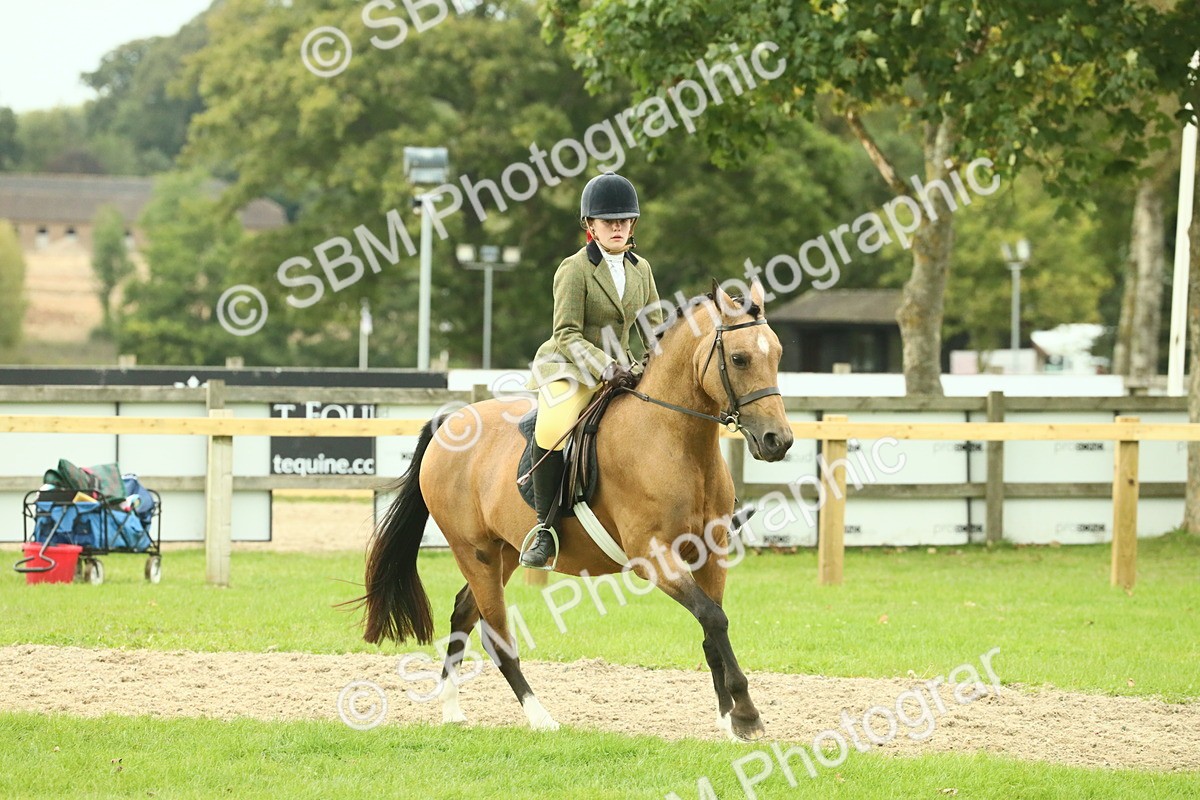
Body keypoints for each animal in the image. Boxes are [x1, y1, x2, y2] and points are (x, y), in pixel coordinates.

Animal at [360, 280, 795, 741]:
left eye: (777, 355)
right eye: (739, 358)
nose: (778, 441)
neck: (675, 441)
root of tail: (450, 421)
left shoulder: (712, 556)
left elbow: (714, 628)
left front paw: (729, 720)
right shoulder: (655, 558)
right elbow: (713, 618)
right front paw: (746, 715)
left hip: (504, 552)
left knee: (463, 612)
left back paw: (452, 709)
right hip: (474, 552)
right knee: (496, 636)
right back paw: (540, 718)